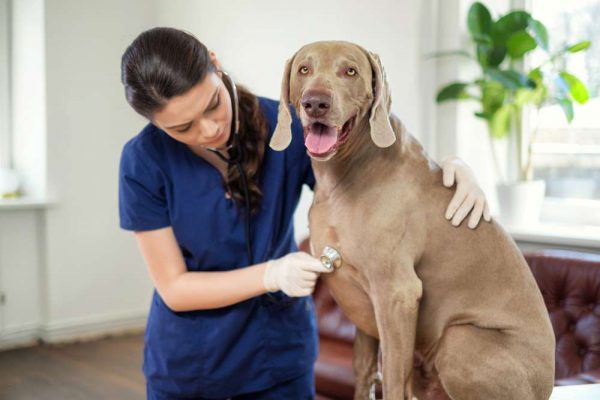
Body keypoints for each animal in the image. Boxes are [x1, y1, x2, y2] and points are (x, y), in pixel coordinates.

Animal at [270, 41, 556, 400]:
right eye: (304, 69)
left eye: (350, 71)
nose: (316, 102)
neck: (346, 172)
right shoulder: (363, 305)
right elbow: (364, 372)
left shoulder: (397, 293)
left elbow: (393, 378)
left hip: (459, 340)